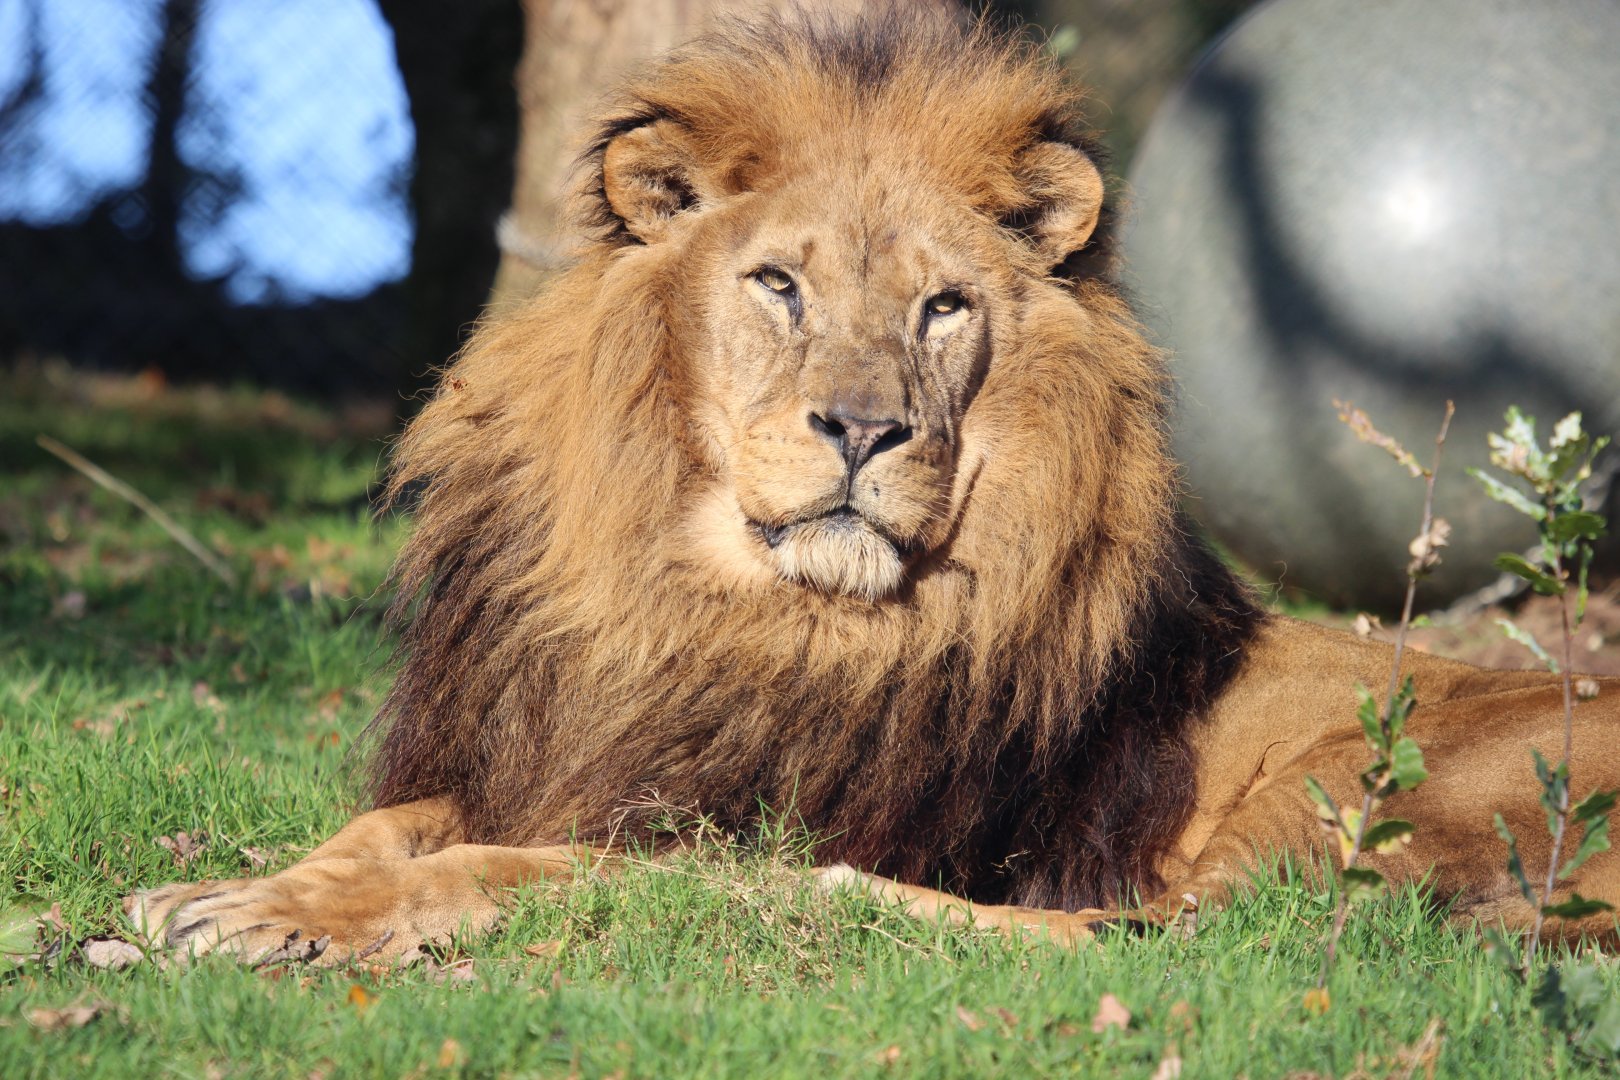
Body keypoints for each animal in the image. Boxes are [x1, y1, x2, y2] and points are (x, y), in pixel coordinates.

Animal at [130, 13, 1619, 963]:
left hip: (1391, 782)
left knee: (1174, 936)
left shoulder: (716, 821)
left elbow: (518, 864)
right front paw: (217, 895)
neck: (724, 615)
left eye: (943, 307)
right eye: (778, 284)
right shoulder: (555, 759)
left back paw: (835, 897)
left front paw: (293, 923)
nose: (861, 427)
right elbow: (387, 823)